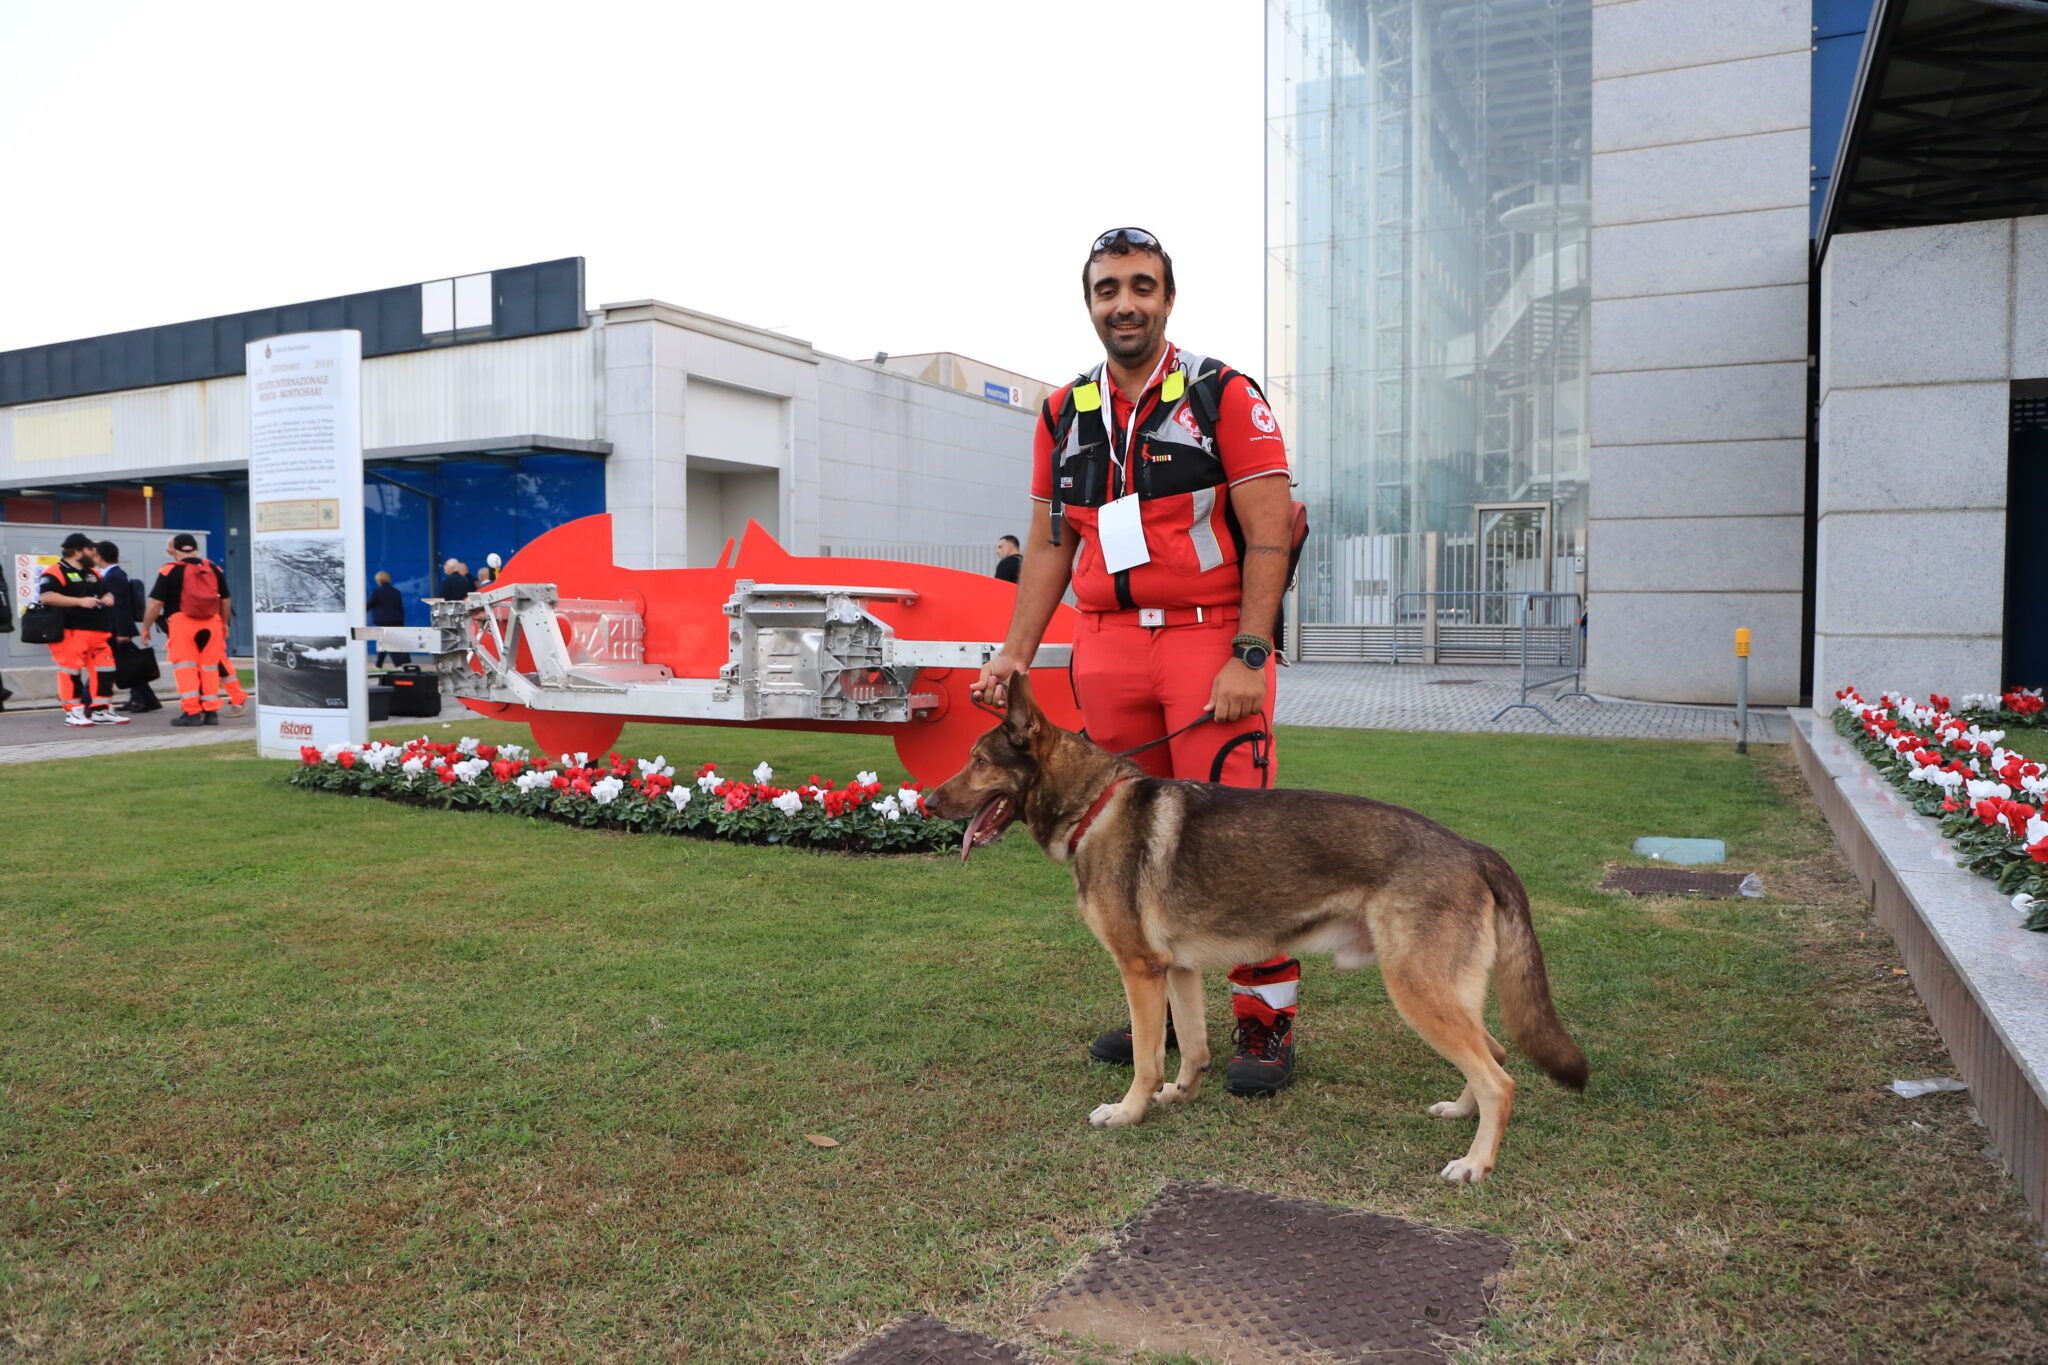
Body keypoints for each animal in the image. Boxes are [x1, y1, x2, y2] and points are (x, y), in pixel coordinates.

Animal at [925, 675, 1581, 1186]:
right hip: (1443, 993)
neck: (1094, 805)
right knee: (1495, 1053)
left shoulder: (1140, 970)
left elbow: (1145, 1059)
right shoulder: (1178, 970)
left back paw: (1475, 1164)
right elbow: (1191, 1048)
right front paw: (1180, 1096)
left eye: (979, 762)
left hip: (1417, 991)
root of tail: (1472, 849)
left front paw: (1129, 1113)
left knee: (1501, 1078)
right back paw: (1461, 1116)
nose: (926, 803)